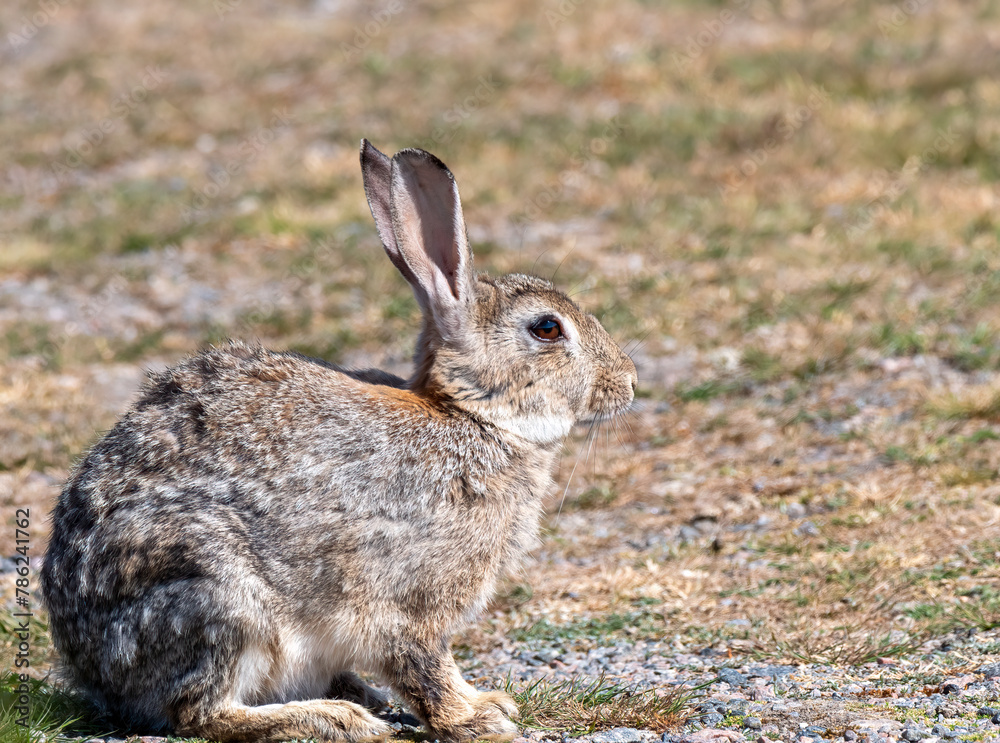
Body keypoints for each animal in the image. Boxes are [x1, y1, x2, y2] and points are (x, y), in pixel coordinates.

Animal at [40, 140, 638, 743]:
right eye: (547, 329)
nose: (630, 382)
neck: (470, 414)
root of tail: (92, 670)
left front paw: (489, 701)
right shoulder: (407, 598)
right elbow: (424, 665)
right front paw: (476, 718)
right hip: (217, 594)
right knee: (201, 711)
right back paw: (337, 718)